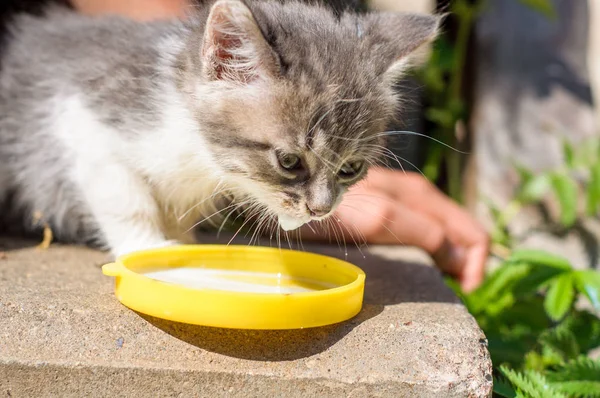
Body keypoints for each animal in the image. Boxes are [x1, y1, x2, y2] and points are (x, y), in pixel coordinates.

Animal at [0, 0, 440, 256]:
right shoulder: (82, 118)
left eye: (350, 169)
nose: (321, 210)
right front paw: (148, 249)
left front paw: (182, 244)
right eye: (289, 161)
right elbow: (126, 198)